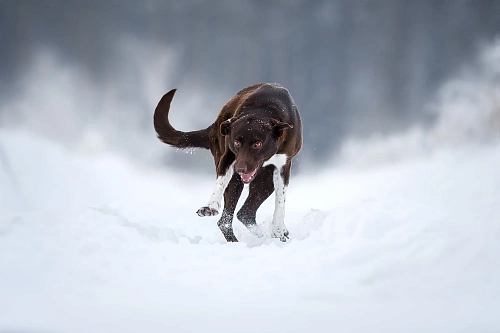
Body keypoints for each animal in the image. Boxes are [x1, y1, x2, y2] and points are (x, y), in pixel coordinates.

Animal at [153, 83, 300, 241]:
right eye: (236, 142)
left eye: (258, 143)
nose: (240, 169)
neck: (264, 109)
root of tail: (214, 126)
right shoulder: (229, 156)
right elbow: (221, 181)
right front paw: (210, 206)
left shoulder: (283, 166)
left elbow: (281, 199)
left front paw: (278, 229)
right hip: (236, 180)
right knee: (226, 220)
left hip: (265, 181)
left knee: (245, 213)